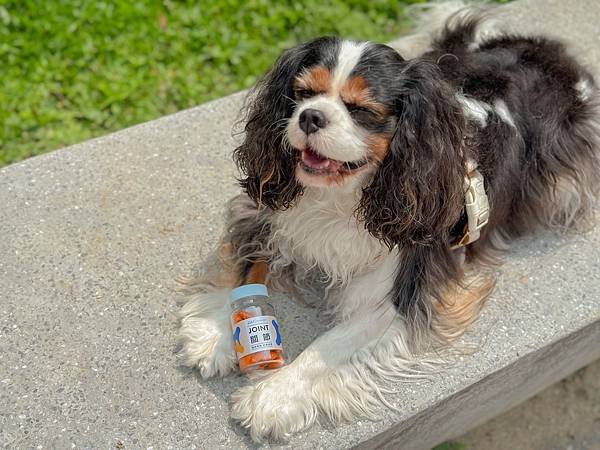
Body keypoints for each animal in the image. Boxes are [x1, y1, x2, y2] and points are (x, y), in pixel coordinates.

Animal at [176, 1, 596, 442]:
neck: (344, 196)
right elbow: (245, 268)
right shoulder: (268, 213)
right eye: (303, 94)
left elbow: (327, 346)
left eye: (362, 111)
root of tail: (547, 52)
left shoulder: (401, 291)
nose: (310, 117)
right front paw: (216, 330)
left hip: (562, 183)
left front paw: (274, 395)